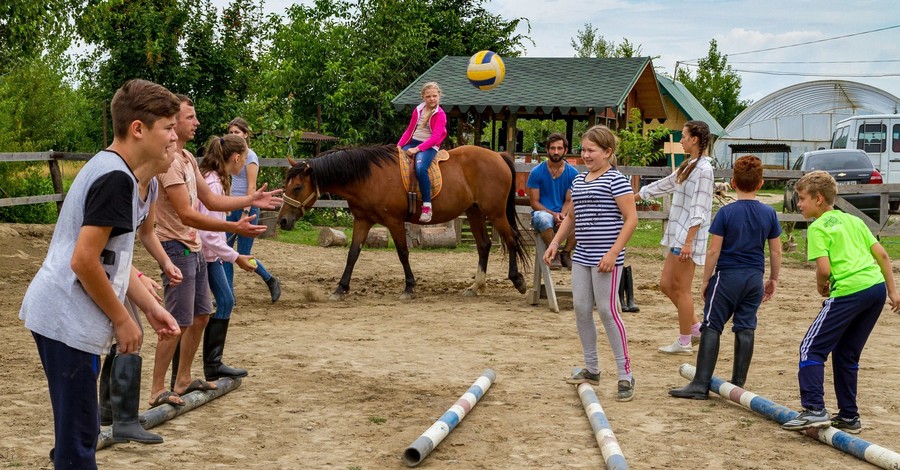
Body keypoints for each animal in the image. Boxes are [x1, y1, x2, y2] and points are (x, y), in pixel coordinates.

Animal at [280, 142, 528, 302]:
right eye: (286, 185)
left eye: (298, 187)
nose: (283, 220)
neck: (369, 177)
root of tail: (499, 156)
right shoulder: (362, 221)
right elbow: (353, 254)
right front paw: (341, 288)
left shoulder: (394, 221)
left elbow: (403, 253)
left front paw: (409, 287)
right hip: (475, 212)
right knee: (484, 245)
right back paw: (476, 286)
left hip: (495, 213)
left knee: (512, 240)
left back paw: (517, 280)